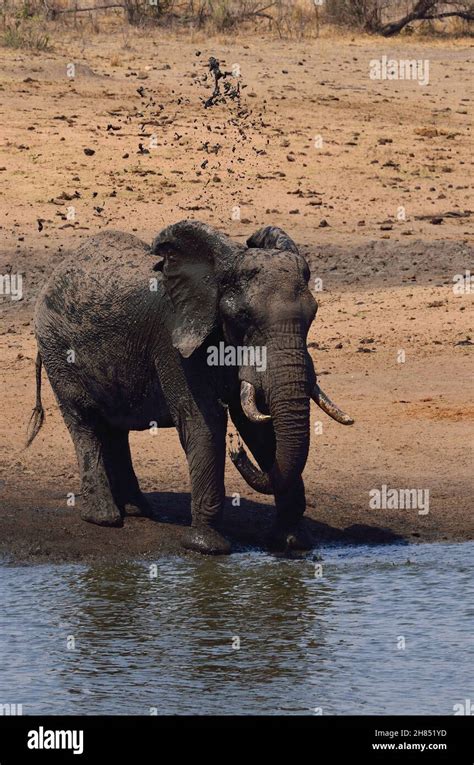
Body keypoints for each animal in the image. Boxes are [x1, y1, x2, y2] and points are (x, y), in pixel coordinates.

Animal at [26, 221, 352, 556]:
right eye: (243, 317)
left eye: (313, 314)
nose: (236, 452)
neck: (219, 269)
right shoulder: (173, 339)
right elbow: (204, 423)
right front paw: (206, 547)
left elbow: (258, 426)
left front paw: (292, 543)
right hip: (57, 350)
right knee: (84, 423)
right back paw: (104, 517)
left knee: (116, 429)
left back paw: (138, 510)